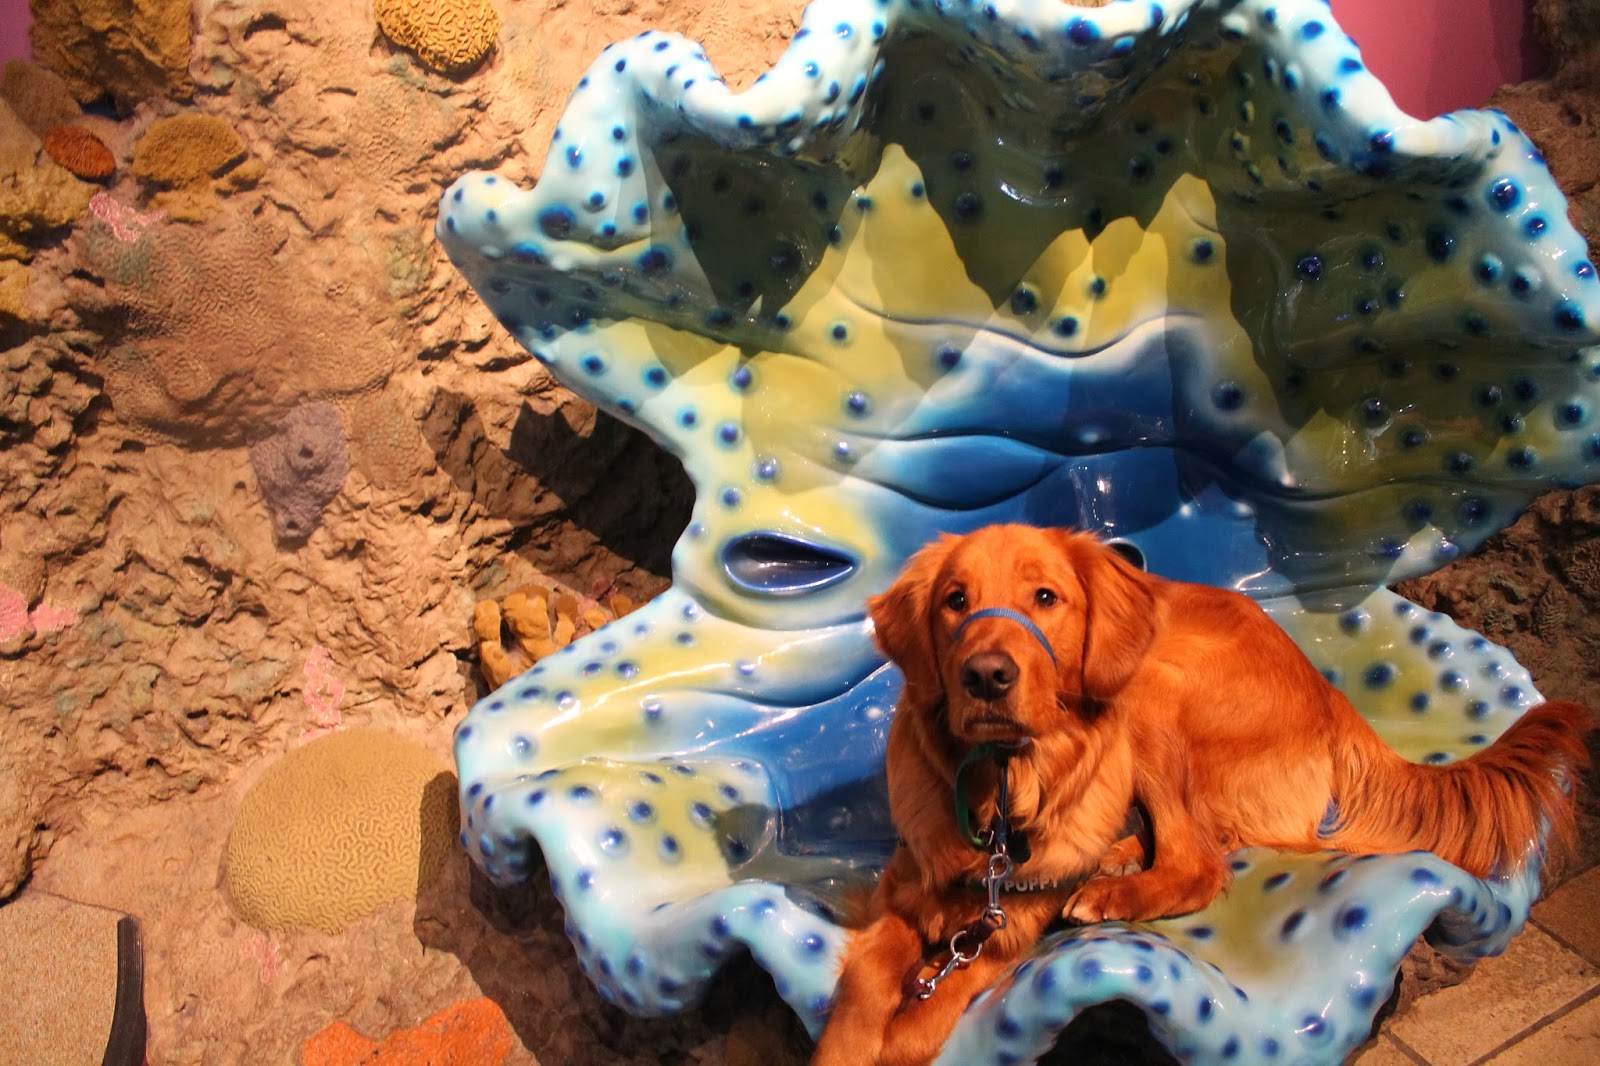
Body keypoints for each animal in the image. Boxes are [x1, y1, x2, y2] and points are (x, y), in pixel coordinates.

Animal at [811, 524, 1591, 1066]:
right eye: (956, 601)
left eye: (1045, 597)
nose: (987, 676)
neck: (1002, 796)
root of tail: (1328, 697)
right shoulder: (902, 884)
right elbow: (865, 985)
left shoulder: (1012, 928)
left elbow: (931, 1010)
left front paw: (912, 1023)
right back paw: (1122, 854)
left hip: (1152, 688)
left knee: (1202, 862)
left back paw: (1113, 886)